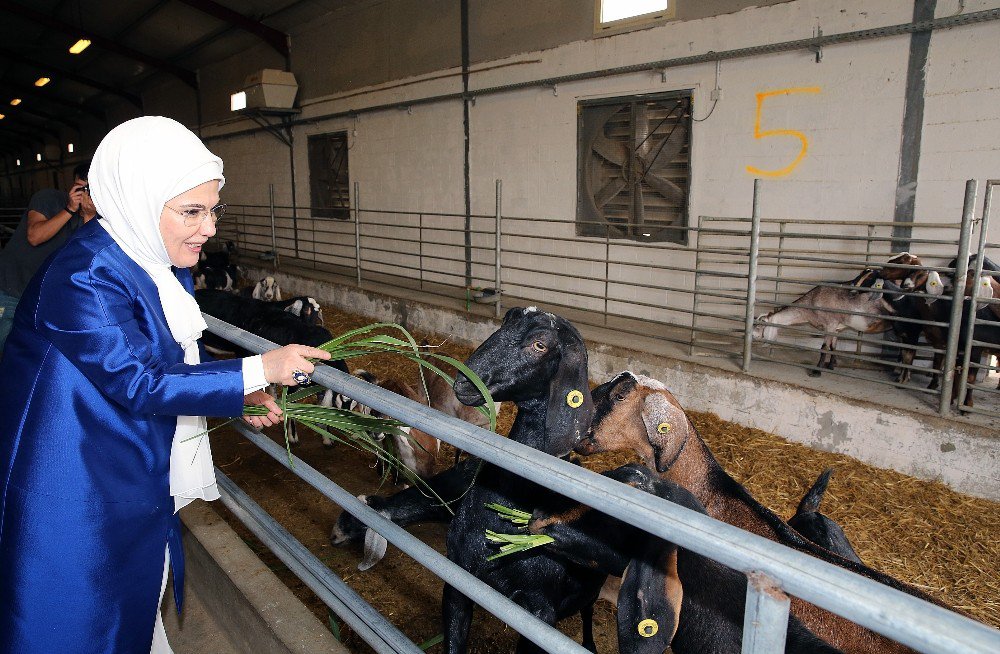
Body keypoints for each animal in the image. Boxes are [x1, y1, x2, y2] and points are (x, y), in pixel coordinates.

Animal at [446, 308, 600, 654]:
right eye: (503, 324)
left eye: (540, 345)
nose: (463, 381)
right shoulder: (459, 577)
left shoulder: (539, 615)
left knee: (587, 612)